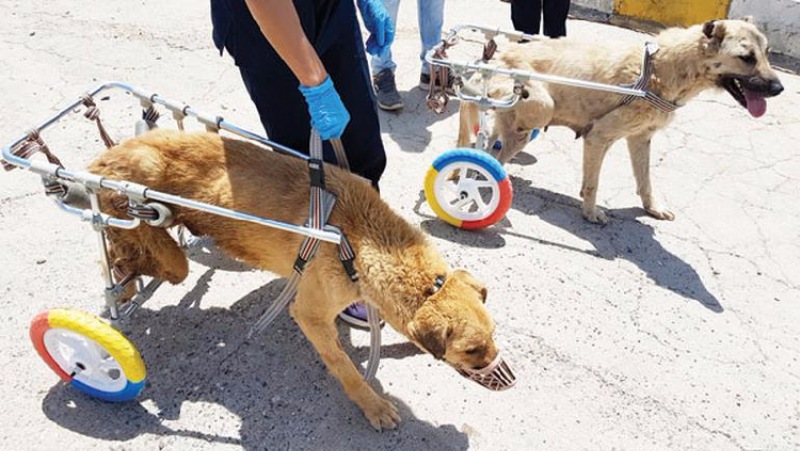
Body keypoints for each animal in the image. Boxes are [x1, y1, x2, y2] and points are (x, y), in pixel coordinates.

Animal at [87, 130, 512, 430]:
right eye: (472, 350)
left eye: (493, 335)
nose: (509, 379)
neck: (359, 238)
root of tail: (102, 161)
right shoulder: (309, 313)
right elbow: (344, 366)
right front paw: (372, 404)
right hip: (157, 243)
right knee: (132, 257)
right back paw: (120, 280)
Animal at [460, 19, 784, 224]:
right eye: (746, 57)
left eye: (767, 54)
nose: (779, 88)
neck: (662, 69)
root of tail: (490, 59)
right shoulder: (598, 137)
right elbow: (593, 184)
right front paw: (590, 213)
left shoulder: (640, 139)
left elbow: (645, 180)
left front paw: (652, 208)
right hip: (537, 109)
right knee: (491, 155)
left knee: (487, 145)